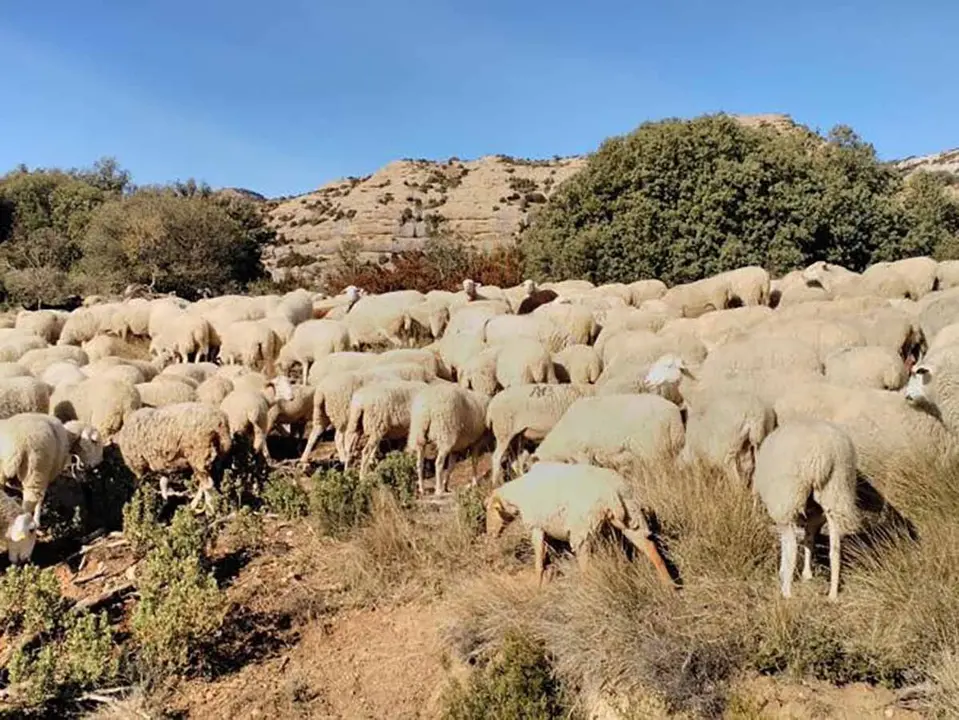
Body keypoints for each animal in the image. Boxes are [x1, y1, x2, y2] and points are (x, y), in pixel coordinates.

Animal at [485, 461, 674, 587]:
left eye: (490, 512)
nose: (490, 534)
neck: (518, 495)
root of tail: (611, 492)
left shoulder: (536, 526)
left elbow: (538, 559)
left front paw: (537, 584)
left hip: (582, 530)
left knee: (586, 567)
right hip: (632, 517)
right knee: (651, 549)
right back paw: (669, 585)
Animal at [752, 419, 859, 600]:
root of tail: (820, 453)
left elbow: (792, 543)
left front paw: (786, 573)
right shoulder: (814, 516)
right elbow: (809, 539)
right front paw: (807, 574)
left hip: (788, 496)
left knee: (792, 547)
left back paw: (786, 592)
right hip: (836, 490)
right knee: (835, 548)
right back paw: (832, 594)